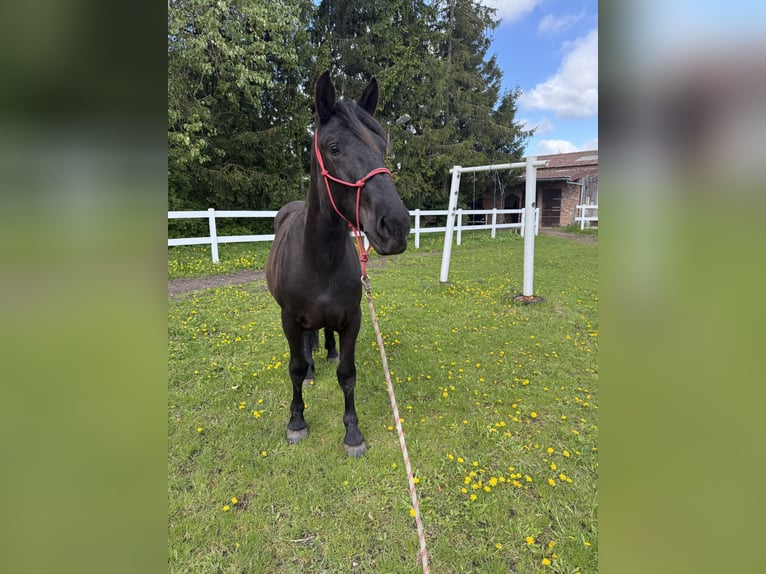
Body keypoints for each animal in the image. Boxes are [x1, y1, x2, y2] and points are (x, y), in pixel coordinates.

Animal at [265, 71, 410, 456]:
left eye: (382, 145)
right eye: (334, 148)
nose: (396, 226)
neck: (319, 260)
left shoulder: (352, 318)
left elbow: (347, 373)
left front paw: (353, 433)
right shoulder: (289, 318)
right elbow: (295, 367)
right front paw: (297, 422)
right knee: (305, 347)